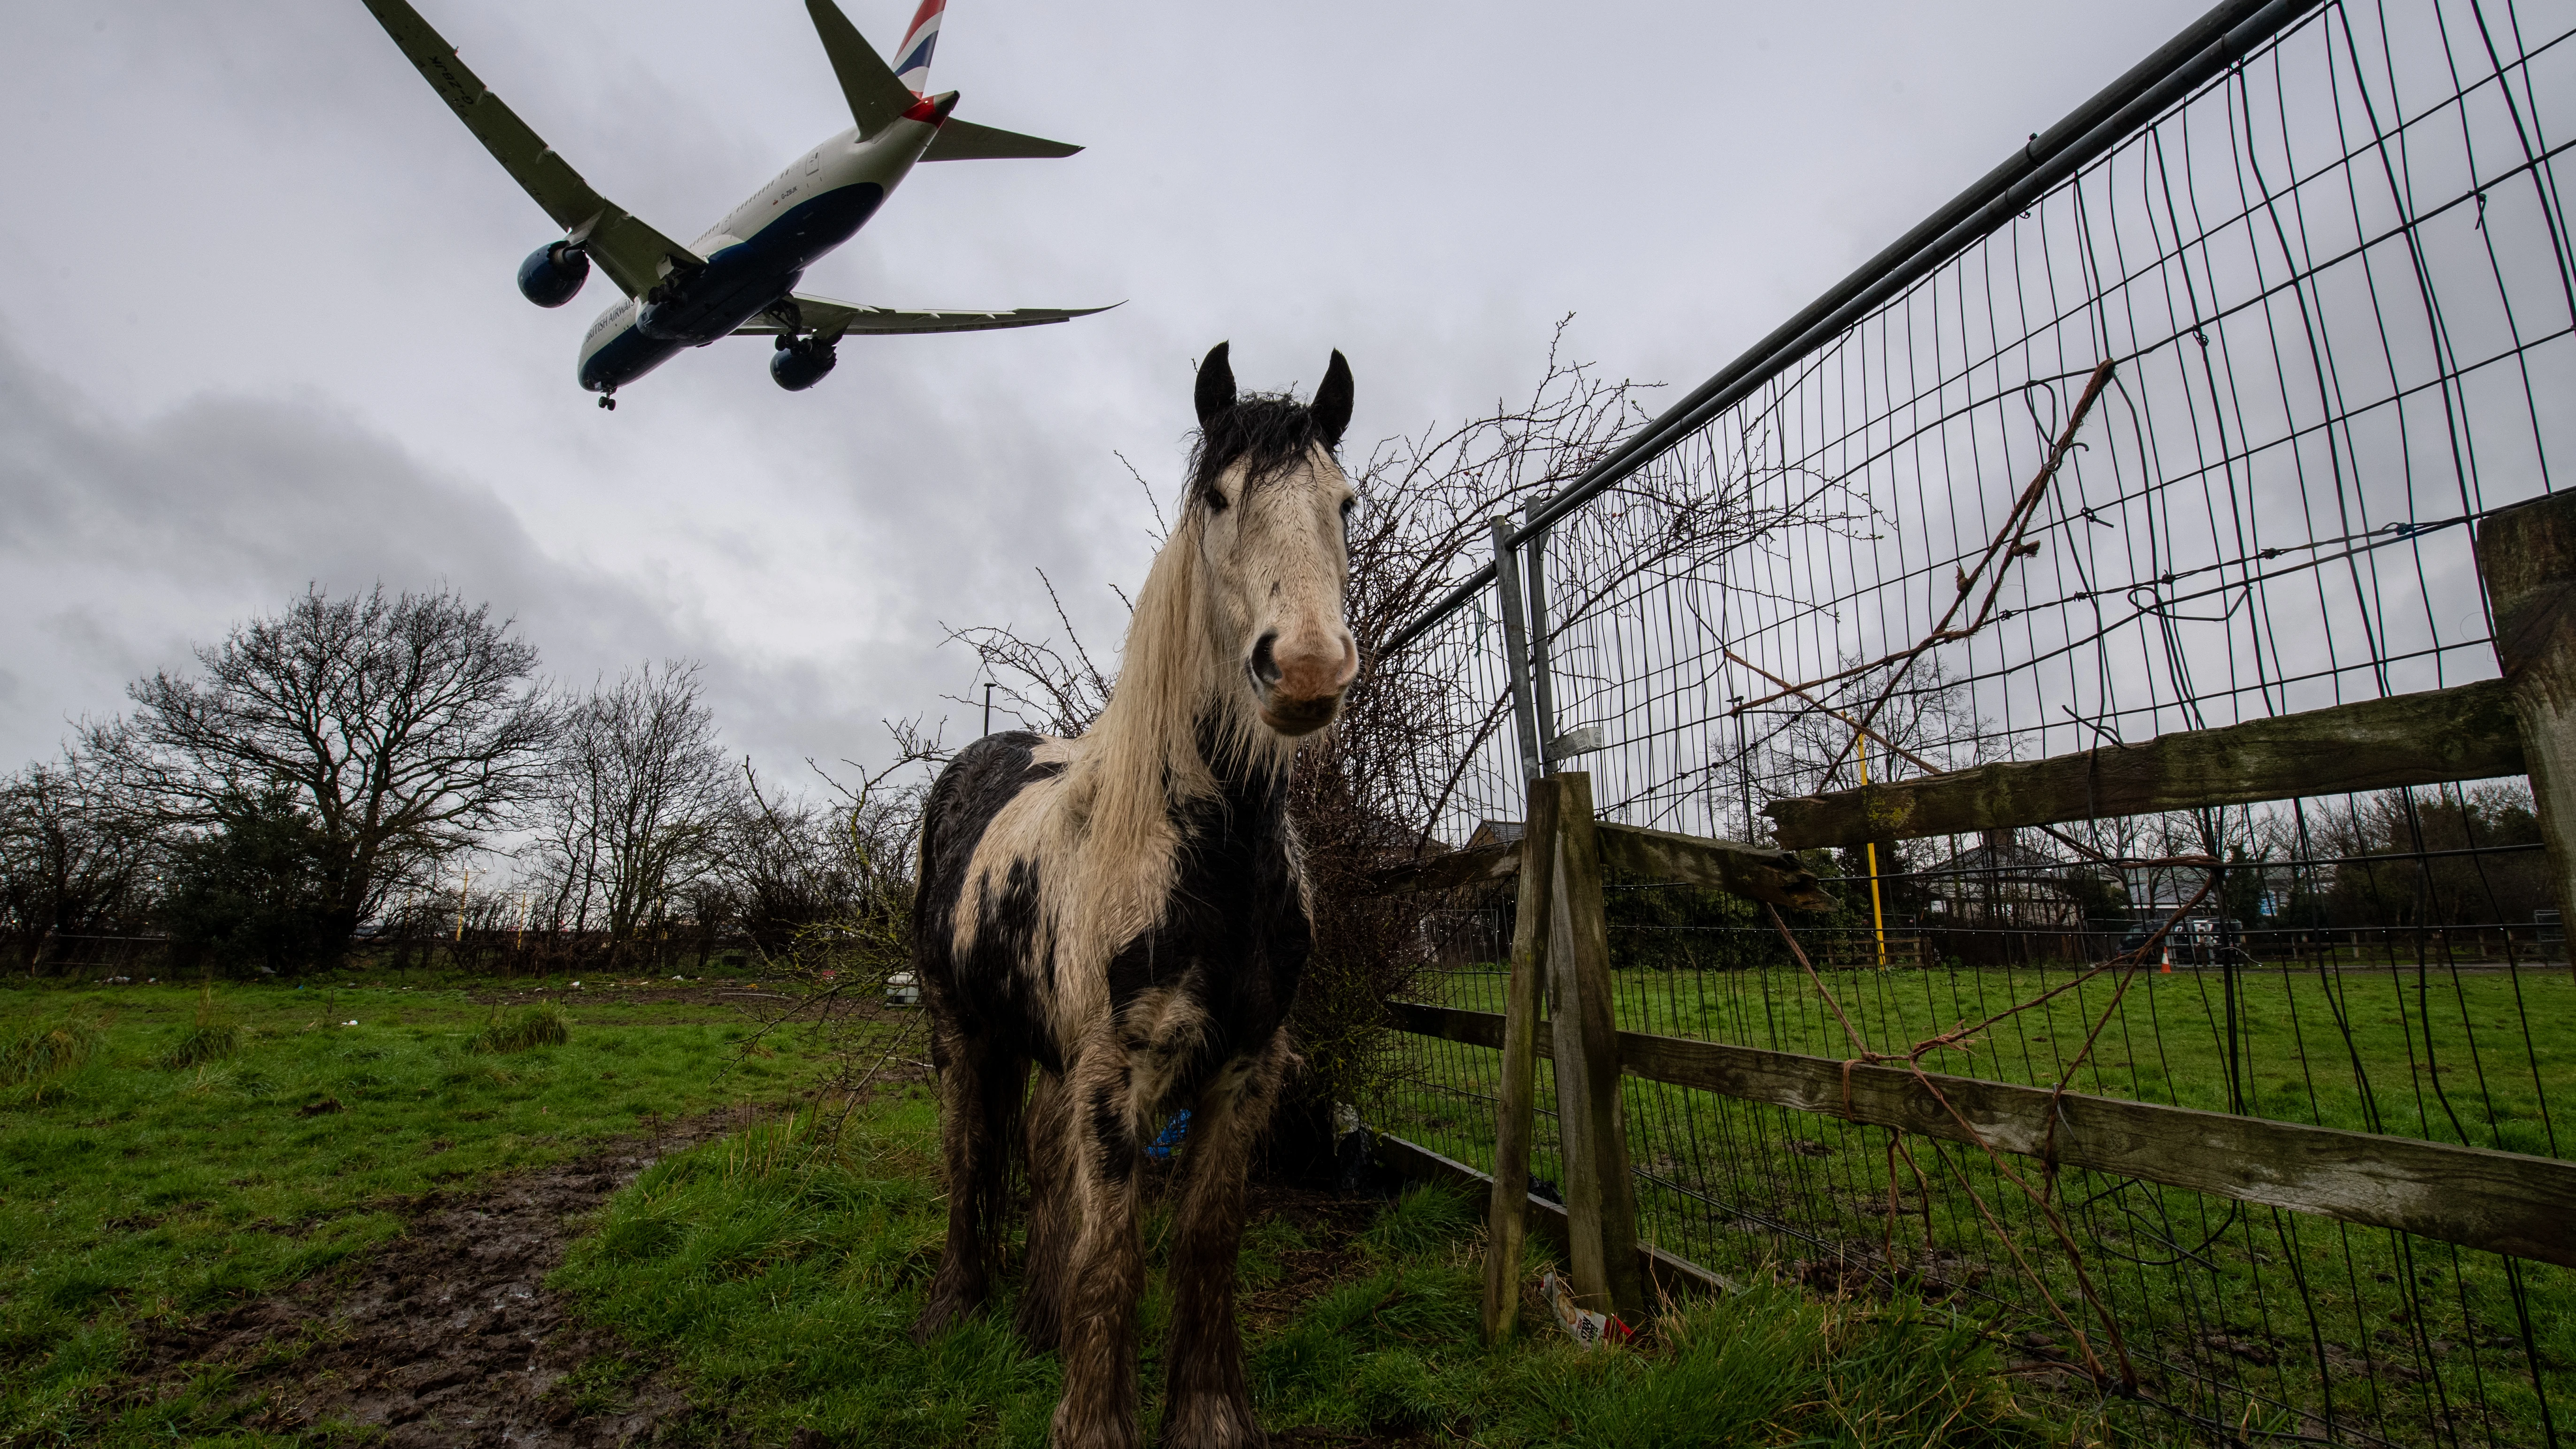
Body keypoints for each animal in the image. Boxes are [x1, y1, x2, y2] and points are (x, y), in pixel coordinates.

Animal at [912, 342, 1360, 1449]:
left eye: (1344, 502)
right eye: (1218, 496)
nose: (1307, 666)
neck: (1209, 857)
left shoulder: (1244, 1073)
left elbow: (1203, 1241)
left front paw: (1207, 1414)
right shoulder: (1116, 1086)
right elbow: (1112, 1258)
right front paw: (1093, 1423)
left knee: (1035, 1154)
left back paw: (1035, 1322)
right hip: (959, 1027)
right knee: (969, 1150)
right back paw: (956, 1307)